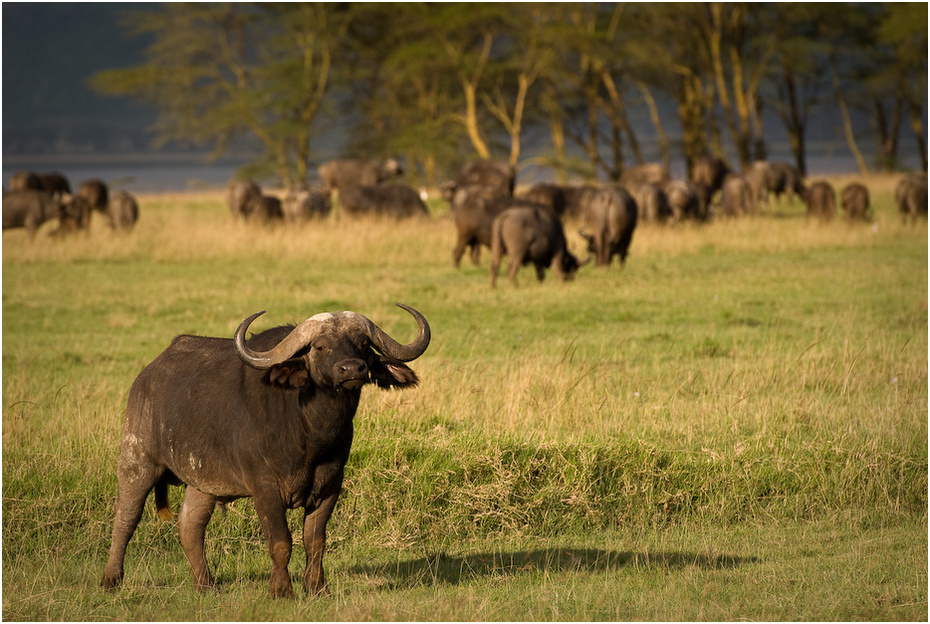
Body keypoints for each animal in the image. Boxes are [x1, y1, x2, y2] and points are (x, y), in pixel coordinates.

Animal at [102, 304, 432, 596]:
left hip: (202, 482)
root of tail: (146, 376)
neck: (310, 433)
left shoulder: (330, 487)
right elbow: (281, 542)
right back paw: (111, 580)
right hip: (137, 460)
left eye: (363, 344)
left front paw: (316, 588)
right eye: (320, 347)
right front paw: (281, 591)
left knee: (190, 525)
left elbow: (315, 541)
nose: (352, 369)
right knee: (126, 517)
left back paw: (206, 585)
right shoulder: (265, 489)